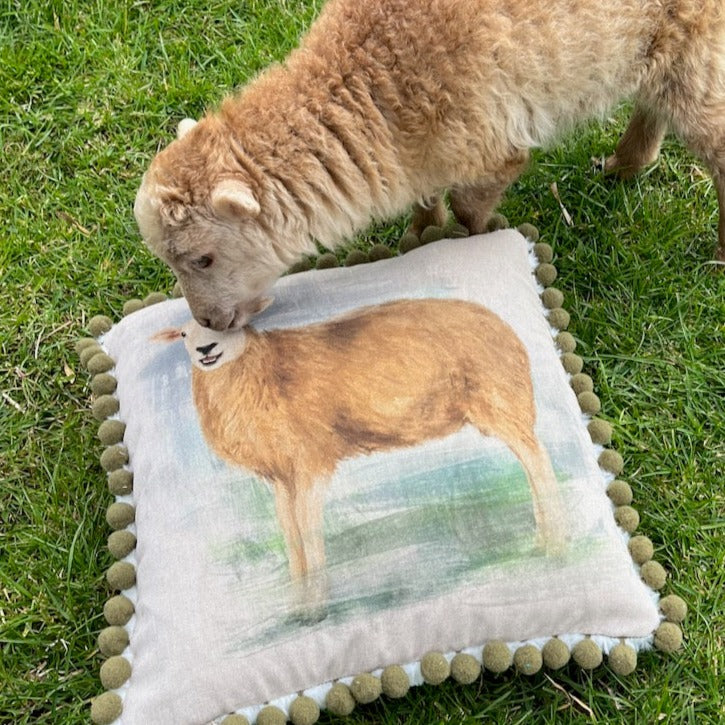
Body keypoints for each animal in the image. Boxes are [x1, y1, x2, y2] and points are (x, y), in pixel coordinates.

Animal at [154, 298, 565, 610]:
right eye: (184, 335)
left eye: (230, 330)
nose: (206, 351)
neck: (262, 371)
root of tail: (506, 327)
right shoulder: (280, 475)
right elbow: (289, 531)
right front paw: (298, 603)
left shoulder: (311, 460)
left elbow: (308, 528)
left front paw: (319, 604)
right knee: (531, 464)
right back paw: (543, 539)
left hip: (500, 400)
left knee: (539, 461)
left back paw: (556, 542)